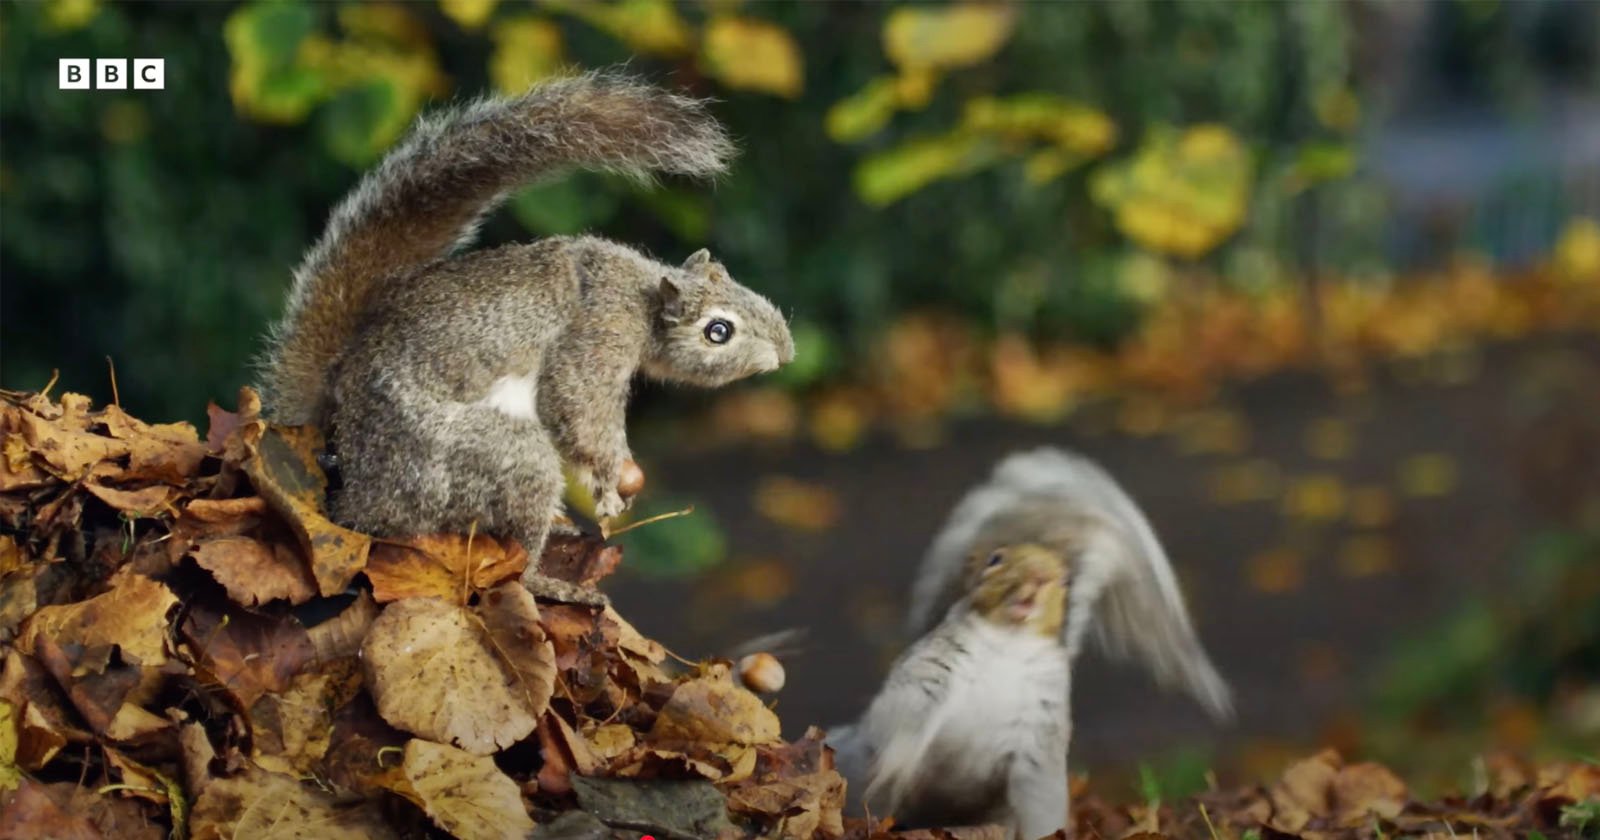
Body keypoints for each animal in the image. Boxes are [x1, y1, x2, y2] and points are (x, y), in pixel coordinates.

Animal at [254, 70, 793, 595]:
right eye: (718, 330)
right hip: (483, 460)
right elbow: (576, 407)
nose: (786, 352)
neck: (640, 293)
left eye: (736, 282)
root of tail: (356, 489)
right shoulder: (597, 333)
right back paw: (549, 580)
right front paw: (612, 481)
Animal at [825, 540, 1075, 832]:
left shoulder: (1044, 716)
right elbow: (906, 714)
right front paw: (895, 763)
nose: (1040, 576)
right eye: (995, 559)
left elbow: (1039, 791)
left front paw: (1049, 831)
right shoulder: (930, 670)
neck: (1011, 641)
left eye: (1066, 580)